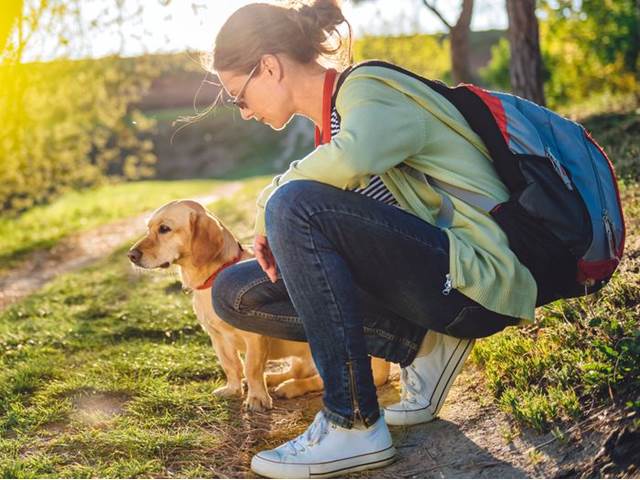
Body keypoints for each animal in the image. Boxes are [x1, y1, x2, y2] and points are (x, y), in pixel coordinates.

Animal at [125, 201, 390, 410]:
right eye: (149, 228)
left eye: (164, 229)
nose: (131, 255)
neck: (212, 278)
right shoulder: (217, 338)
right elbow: (232, 366)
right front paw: (233, 388)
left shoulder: (253, 337)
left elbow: (251, 368)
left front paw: (256, 398)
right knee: (298, 370)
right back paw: (274, 378)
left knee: (324, 380)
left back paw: (289, 387)